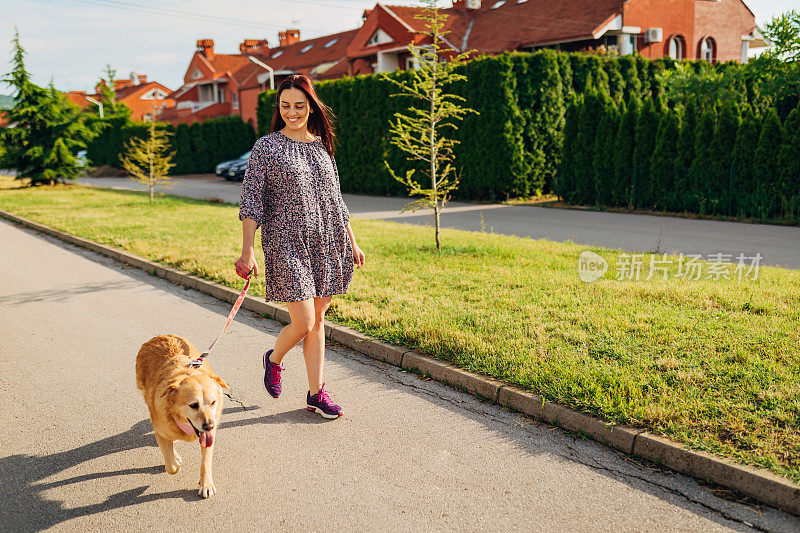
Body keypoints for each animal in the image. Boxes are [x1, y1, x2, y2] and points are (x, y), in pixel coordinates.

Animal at [135, 334, 228, 496]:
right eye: (193, 405)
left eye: (213, 402)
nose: (210, 426)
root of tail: (160, 336)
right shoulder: (161, 431)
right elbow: (171, 467)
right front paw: (175, 461)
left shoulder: (209, 437)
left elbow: (206, 462)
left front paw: (206, 484)